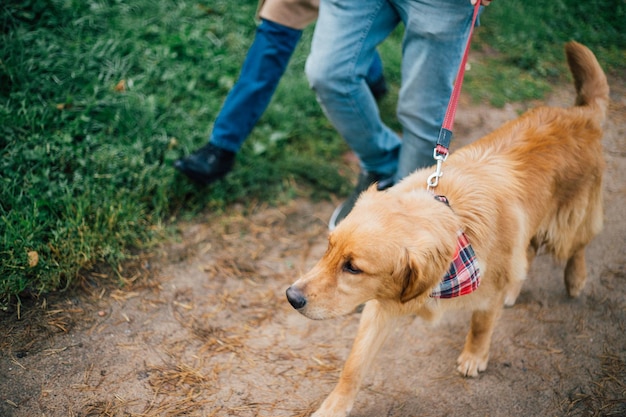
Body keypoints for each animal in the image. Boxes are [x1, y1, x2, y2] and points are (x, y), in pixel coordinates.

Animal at [286, 43, 608, 416]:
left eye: (353, 268)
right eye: (328, 248)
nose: (291, 297)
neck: (456, 223)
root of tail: (581, 115)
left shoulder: (483, 295)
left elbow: (481, 325)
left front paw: (474, 356)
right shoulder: (382, 307)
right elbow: (354, 363)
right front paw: (335, 405)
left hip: (568, 222)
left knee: (578, 245)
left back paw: (575, 278)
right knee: (526, 256)